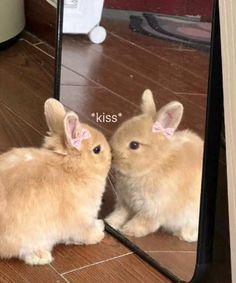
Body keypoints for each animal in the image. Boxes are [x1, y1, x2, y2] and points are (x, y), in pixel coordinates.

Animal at [0, 98, 111, 266]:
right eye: (97, 149)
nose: (112, 156)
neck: (71, 168)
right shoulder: (81, 219)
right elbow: (86, 234)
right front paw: (99, 231)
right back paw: (43, 257)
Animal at [106, 90, 204, 243]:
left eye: (134, 145)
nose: (111, 156)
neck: (155, 163)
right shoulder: (126, 203)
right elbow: (120, 214)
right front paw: (110, 222)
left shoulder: (152, 210)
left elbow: (143, 223)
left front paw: (128, 230)